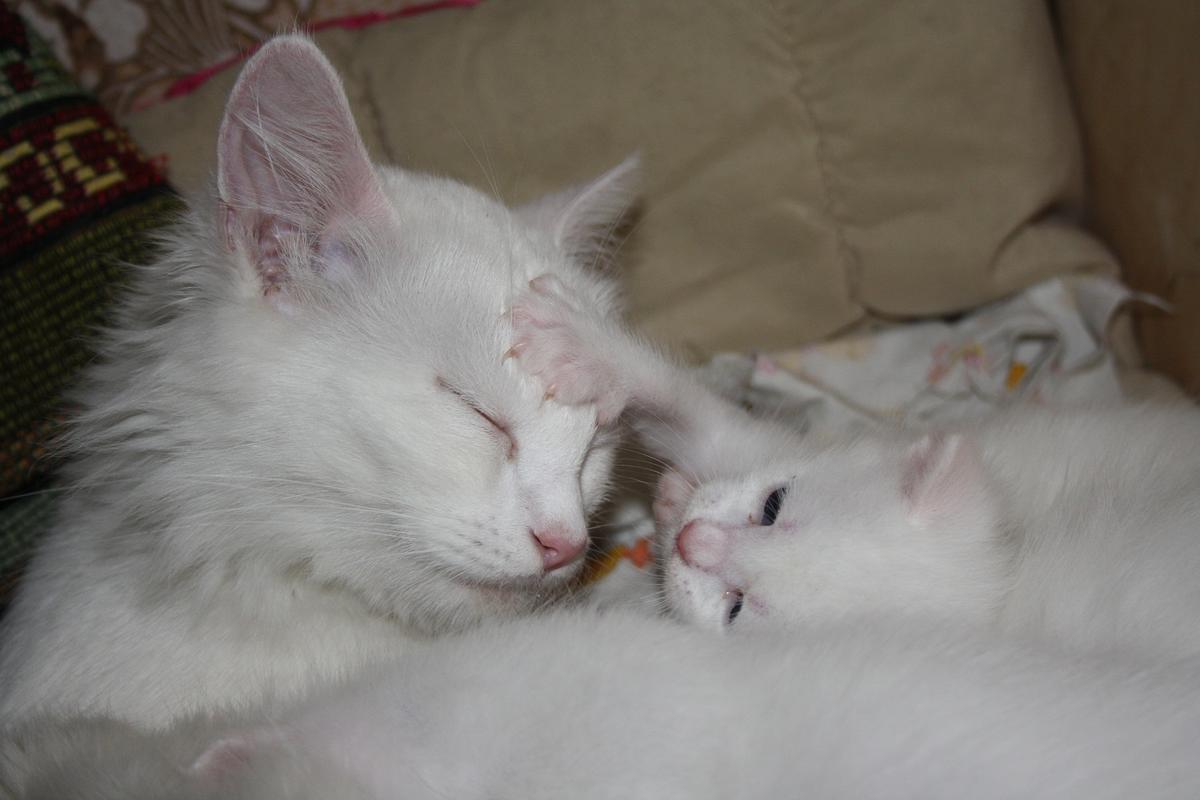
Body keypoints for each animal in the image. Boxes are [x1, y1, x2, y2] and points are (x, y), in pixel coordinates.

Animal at [508, 277, 1200, 658]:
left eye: (738, 608)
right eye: (774, 506)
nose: (690, 541)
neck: (1012, 562)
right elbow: (687, 406)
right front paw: (579, 342)